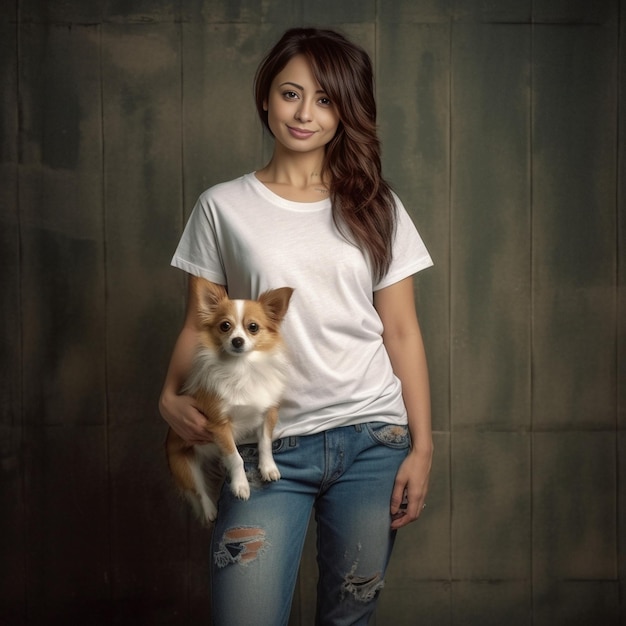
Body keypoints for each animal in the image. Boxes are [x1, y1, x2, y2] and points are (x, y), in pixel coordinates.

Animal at [166, 278, 292, 520]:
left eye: (253, 327)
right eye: (225, 326)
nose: (237, 341)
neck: (242, 367)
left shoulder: (268, 414)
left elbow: (265, 443)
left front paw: (268, 468)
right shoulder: (219, 426)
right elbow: (235, 458)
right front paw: (241, 486)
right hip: (185, 465)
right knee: (198, 490)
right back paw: (210, 511)